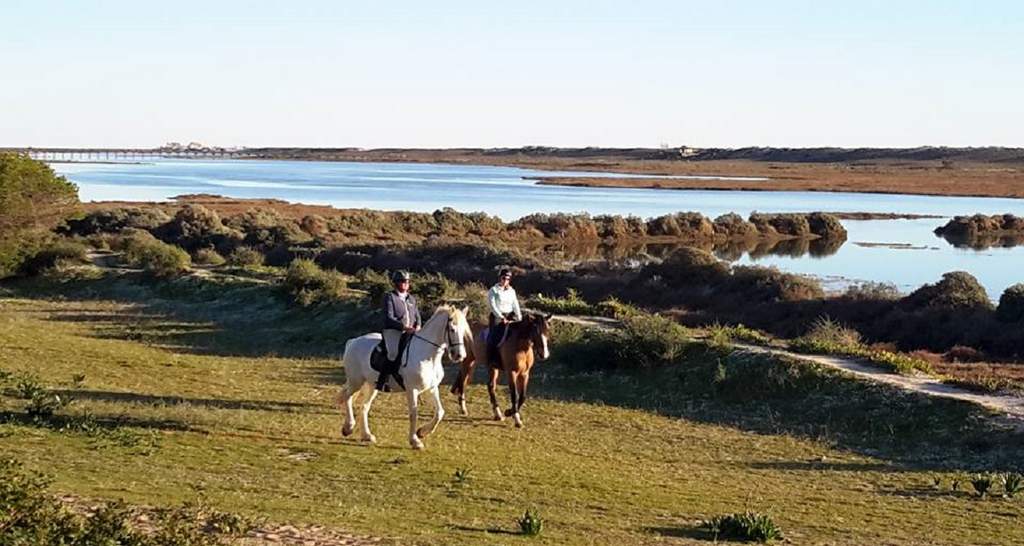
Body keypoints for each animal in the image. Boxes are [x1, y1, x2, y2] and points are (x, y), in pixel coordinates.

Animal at [337, 305, 468, 448]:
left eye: (464, 331)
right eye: (452, 329)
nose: (459, 356)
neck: (428, 356)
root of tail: (353, 341)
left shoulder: (431, 388)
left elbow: (440, 412)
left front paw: (422, 432)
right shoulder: (412, 389)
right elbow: (413, 414)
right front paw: (415, 441)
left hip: (372, 385)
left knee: (364, 406)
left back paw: (367, 436)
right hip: (356, 381)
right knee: (347, 397)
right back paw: (348, 428)